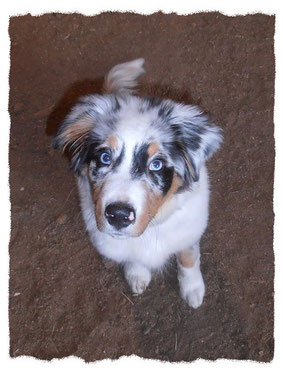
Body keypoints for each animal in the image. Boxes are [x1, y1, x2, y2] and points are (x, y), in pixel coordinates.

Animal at [52, 58, 222, 310]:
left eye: (157, 164)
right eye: (105, 157)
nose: (118, 215)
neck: (151, 229)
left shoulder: (190, 231)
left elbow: (188, 257)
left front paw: (193, 290)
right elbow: (132, 257)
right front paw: (137, 275)